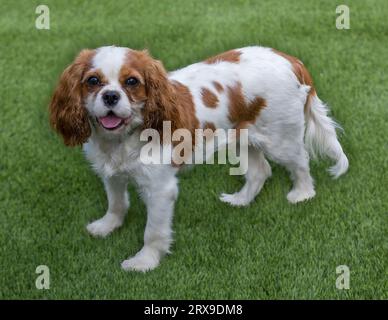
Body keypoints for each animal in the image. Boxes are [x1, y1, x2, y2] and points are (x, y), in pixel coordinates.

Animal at [49, 46, 348, 272]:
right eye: (93, 81)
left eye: (131, 82)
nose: (110, 96)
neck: (121, 139)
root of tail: (290, 59)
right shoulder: (111, 174)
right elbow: (116, 204)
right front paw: (107, 226)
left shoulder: (160, 189)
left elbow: (153, 232)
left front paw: (144, 262)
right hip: (242, 137)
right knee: (260, 170)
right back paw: (240, 200)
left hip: (280, 139)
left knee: (300, 162)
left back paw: (302, 194)